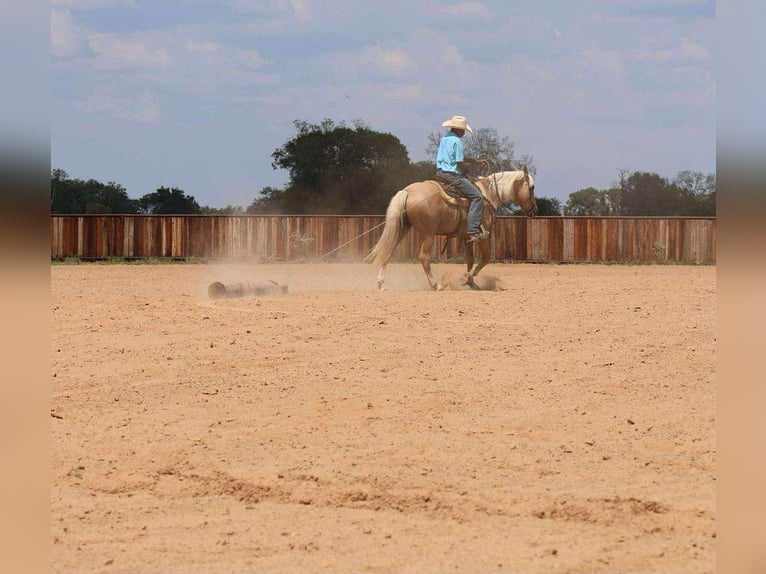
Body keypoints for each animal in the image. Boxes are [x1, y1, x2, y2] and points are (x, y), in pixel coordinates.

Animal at [365, 166, 537, 291]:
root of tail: (408, 191)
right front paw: (465, 279)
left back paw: (381, 284)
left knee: (388, 251)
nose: (534, 210)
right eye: (532, 187)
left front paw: (471, 282)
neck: (488, 195)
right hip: (428, 234)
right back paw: (436, 285)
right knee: (424, 257)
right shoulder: (484, 236)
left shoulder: (467, 237)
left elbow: (470, 259)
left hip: (403, 228)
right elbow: (485, 258)